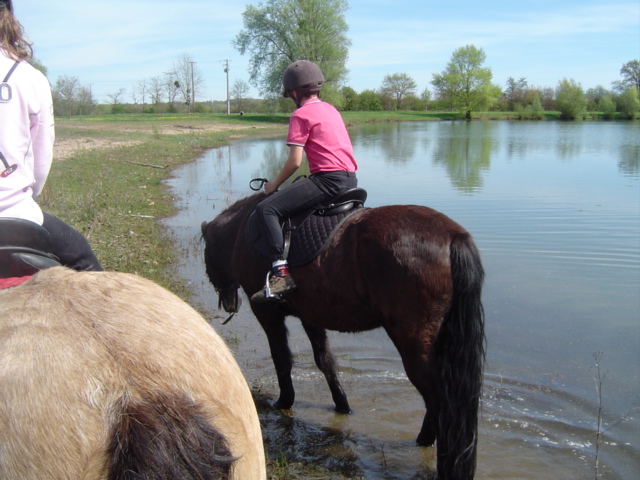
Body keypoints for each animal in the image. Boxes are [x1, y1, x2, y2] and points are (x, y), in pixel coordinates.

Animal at [201, 192, 484, 480]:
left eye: (206, 255)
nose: (229, 303)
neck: (244, 228)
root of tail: (453, 236)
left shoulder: (267, 313)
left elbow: (282, 359)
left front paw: (284, 401)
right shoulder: (310, 316)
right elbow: (325, 361)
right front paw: (342, 405)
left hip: (414, 343)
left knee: (439, 400)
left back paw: (427, 444)